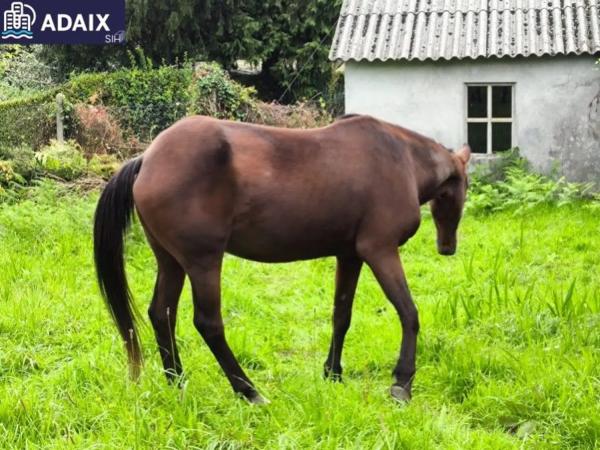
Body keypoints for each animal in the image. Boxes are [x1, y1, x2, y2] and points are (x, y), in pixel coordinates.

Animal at [95, 114, 468, 402]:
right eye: (460, 189)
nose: (447, 246)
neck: (400, 158)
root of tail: (147, 159)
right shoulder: (381, 251)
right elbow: (409, 313)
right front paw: (402, 383)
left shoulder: (349, 256)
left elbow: (341, 315)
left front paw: (332, 373)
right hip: (203, 261)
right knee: (208, 323)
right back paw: (248, 392)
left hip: (171, 261)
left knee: (162, 314)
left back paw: (178, 383)